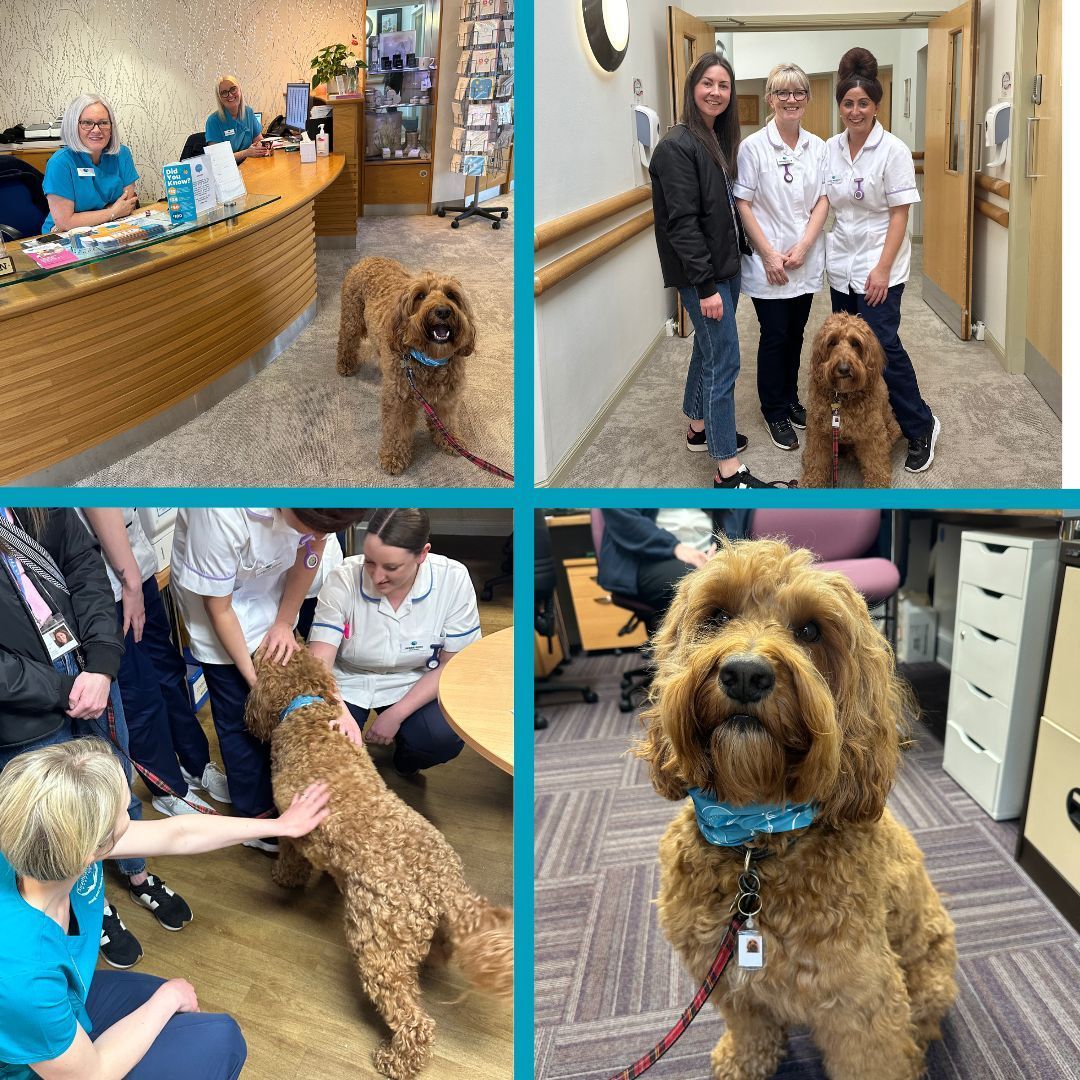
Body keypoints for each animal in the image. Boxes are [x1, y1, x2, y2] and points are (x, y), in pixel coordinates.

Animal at [246, 643, 514, 1075]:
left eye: (264, 655)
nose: (253, 646)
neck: (307, 709)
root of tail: (445, 884)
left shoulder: (294, 827)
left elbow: (292, 858)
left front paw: (284, 877)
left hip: (378, 948)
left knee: (414, 1019)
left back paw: (395, 1060)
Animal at [334, 254, 475, 475]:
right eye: (420, 296)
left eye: (451, 295)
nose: (443, 311)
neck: (430, 359)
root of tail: (370, 257)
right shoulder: (398, 400)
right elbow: (397, 430)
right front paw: (393, 457)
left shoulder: (448, 397)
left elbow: (447, 420)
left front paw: (450, 441)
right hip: (352, 318)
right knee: (346, 341)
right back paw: (345, 364)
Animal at [630, 540, 954, 1080]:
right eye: (717, 616)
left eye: (810, 631)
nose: (744, 673)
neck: (755, 840)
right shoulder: (727, 976)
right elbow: (751, 1026)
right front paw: (745, 1061)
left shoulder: (863, 1000)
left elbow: (875, 1058)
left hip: (929, 976)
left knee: (921, 1024)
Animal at [803, 308, 902, 486]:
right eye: (832, 342)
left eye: (856, 343)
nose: (843, 368)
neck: (842, 396)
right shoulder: (818, 433)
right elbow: (816, 462)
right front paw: (810, 482)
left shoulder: (872, 435)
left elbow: (876, 464)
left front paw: (877, 485)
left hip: (892, 429)